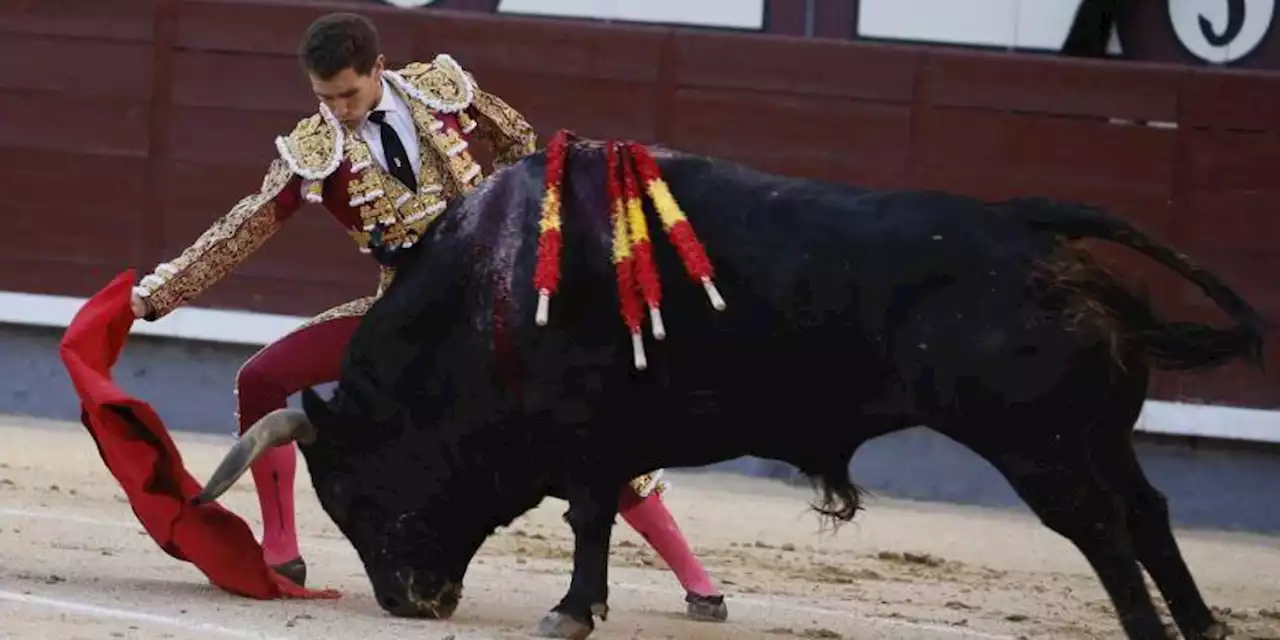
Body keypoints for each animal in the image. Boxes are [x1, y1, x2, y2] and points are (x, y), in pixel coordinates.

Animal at [194, 131, 1264, 640]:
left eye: (353, 491)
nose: (412, 601)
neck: (489, 290)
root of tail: (1027, 223)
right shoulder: (606, 435)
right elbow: (606, 512)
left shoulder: (584, 430)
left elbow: (589, 517)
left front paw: (569, 611)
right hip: (1099, 430)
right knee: (1148, 511)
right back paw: (1202, 625)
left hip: (1037, 443)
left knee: (1101, 529)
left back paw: (1155, 630)